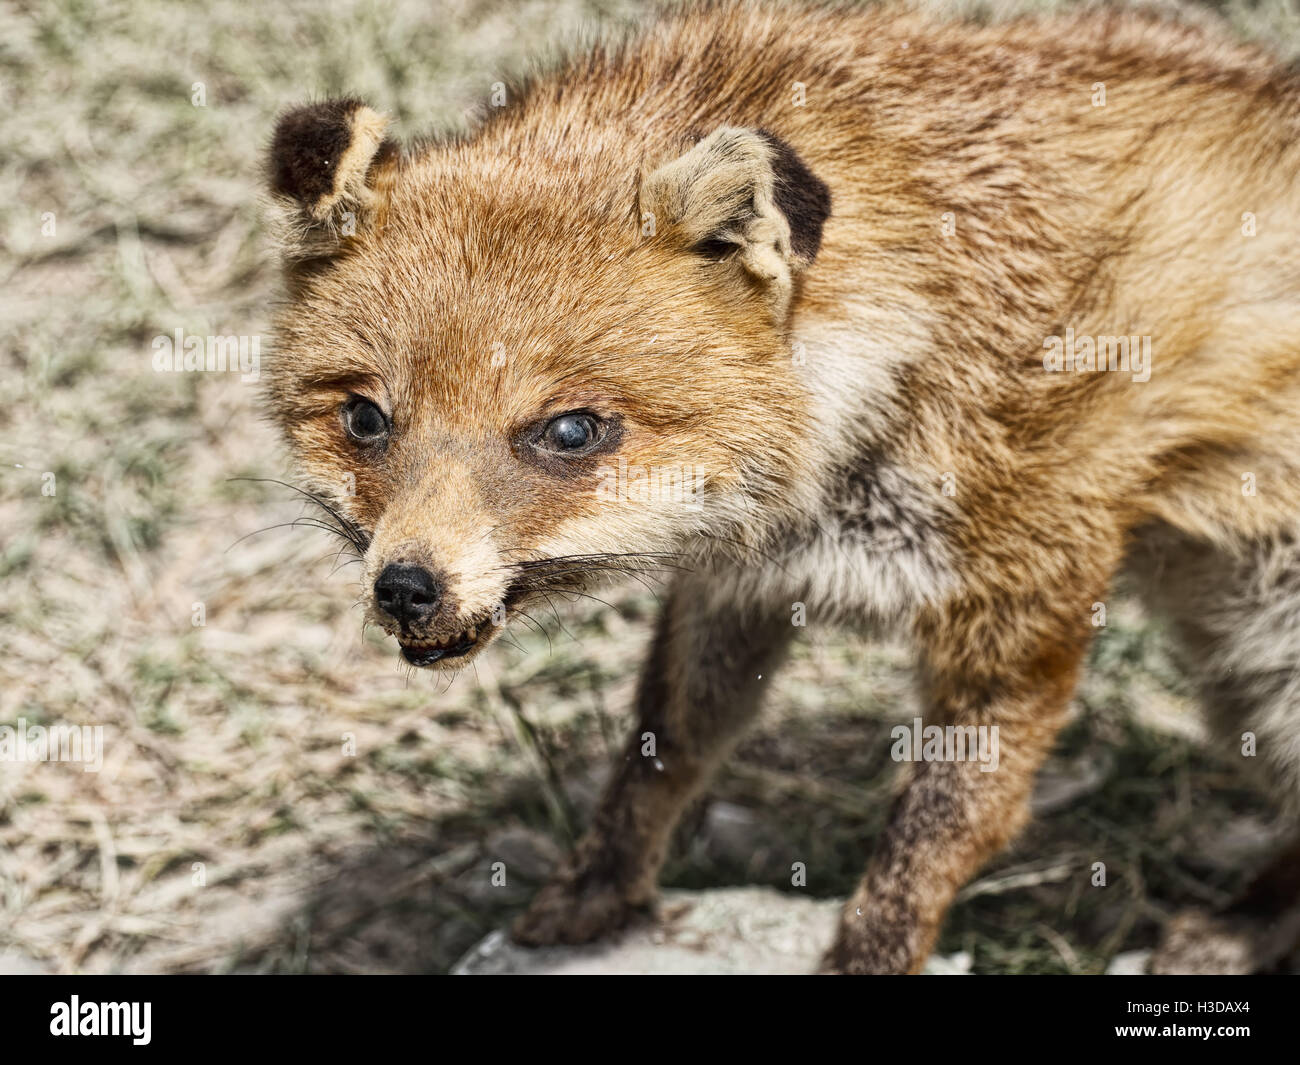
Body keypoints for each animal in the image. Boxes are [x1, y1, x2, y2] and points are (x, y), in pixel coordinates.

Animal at [261, 0, 1300, 972]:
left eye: (570, 431)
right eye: (367, 419)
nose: (405, 588)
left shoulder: (1020, 602)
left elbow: (938, 832)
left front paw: (867, 956)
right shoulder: (743, 575)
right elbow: (665, 748)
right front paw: (595, 891)